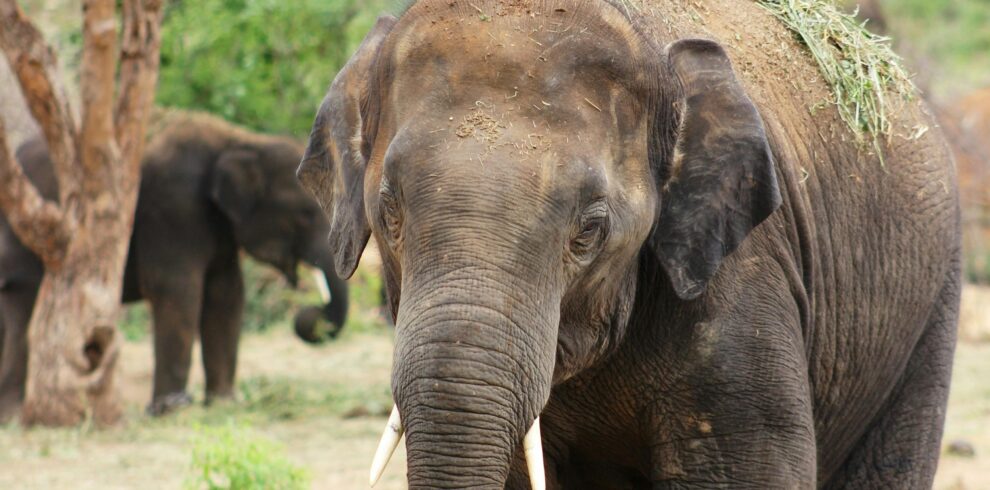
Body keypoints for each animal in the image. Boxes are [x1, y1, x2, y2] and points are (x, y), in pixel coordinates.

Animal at [0, 111, 348, 419]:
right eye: (306, 214)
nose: (308, 313)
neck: (240, 140)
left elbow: (226, 295)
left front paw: (223, 403)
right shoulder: (174, 208)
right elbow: (179, 292)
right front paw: (168, 409)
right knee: (24, 303)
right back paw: (14, 413)